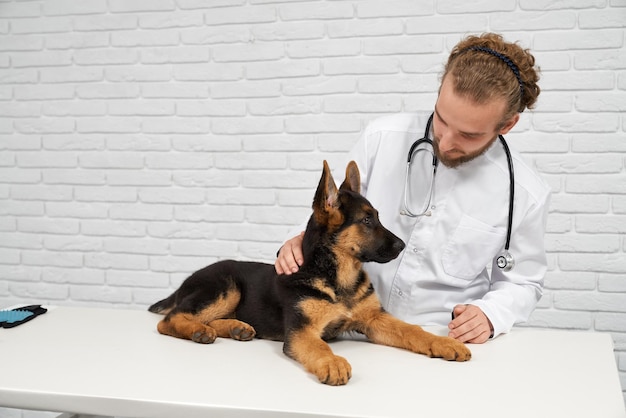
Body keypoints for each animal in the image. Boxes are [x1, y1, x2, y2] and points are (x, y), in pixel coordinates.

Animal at [147, 160, 468, 386]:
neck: (338, 277)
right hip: (226, 286)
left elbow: (412, 330)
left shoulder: (375, 319)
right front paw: (333, 362)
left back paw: (236, 328)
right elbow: (319, 347)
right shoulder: (302, 331)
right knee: (169, 319)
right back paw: (200, 330)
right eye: (366, 221)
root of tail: (186, 281)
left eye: (377, 217)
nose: (402, 246)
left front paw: (444, 343)